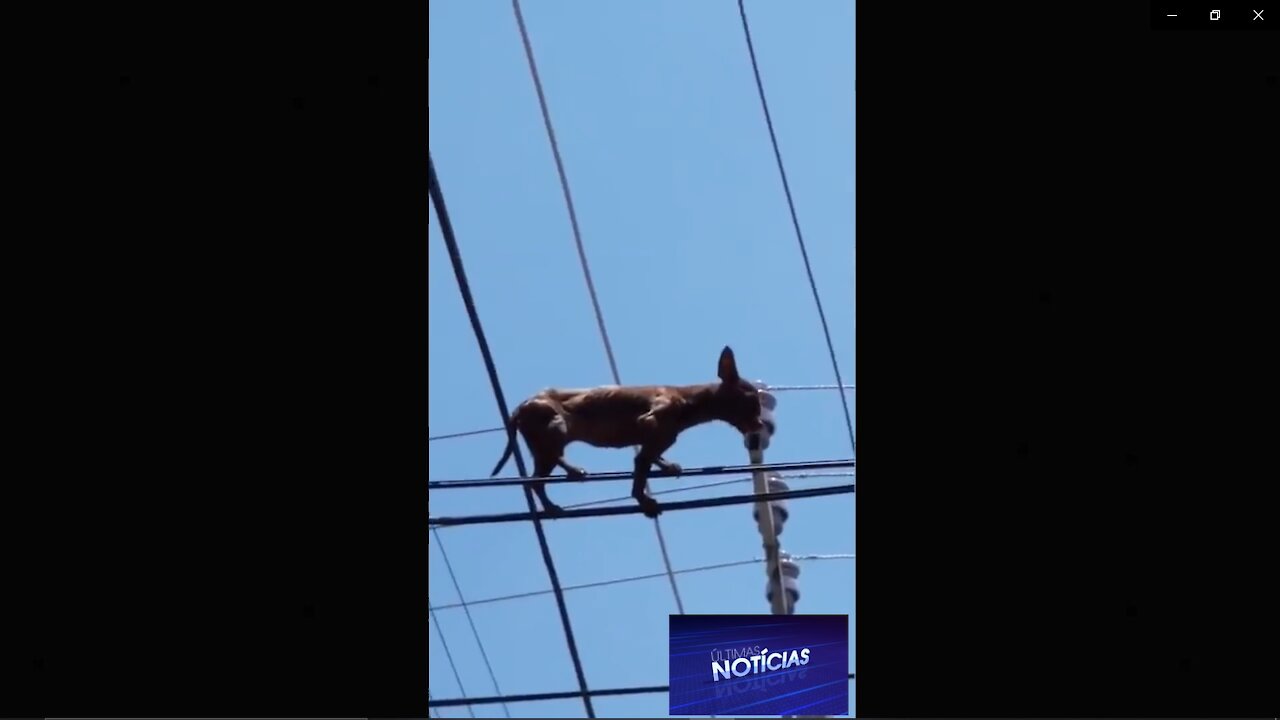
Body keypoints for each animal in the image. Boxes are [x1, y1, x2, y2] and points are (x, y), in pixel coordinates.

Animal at [491, 345, 762, 512]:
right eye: (753, 401)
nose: (760, 424)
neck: (690, 401)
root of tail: (520, 407)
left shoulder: (656, 440)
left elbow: (649, 459)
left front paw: (666, 466)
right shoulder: (649, 422)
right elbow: (640, 473)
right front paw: (644, 501)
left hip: (545, 440)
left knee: (540, 474)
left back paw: (563, 486)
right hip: (556, 427)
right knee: (540, 475)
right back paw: (559, 493)